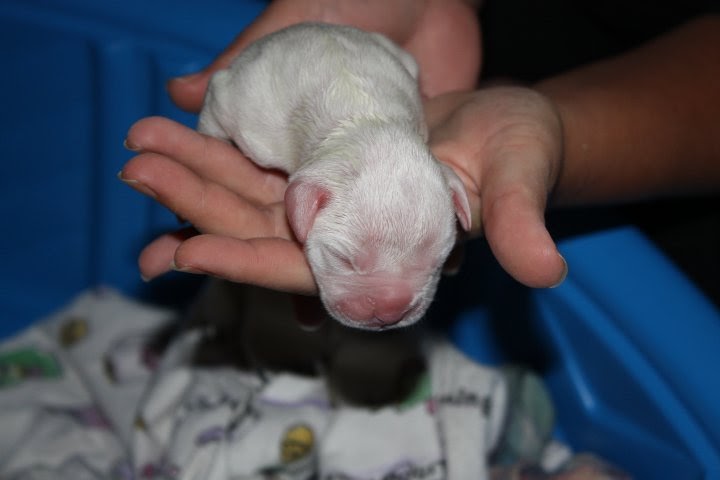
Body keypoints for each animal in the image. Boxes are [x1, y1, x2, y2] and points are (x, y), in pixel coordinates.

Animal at [200, 23, 472, 330]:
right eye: (343, 259)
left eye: (438, 262)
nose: (391, 313)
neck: (365, 119)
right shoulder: (242, 111)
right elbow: (215, 108)